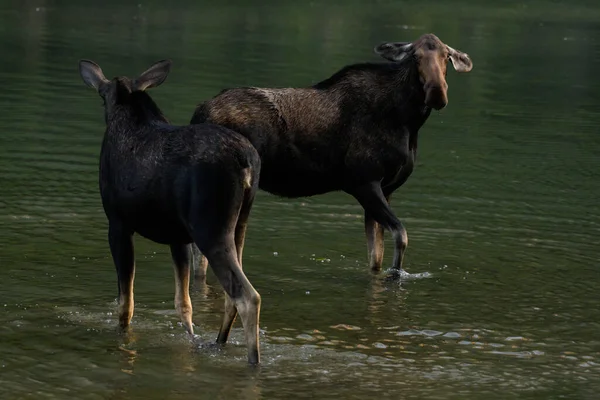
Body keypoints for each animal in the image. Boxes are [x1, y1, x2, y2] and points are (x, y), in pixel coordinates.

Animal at [78, 57, 262, 364]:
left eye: (102, 95)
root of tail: (246, 161)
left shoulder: (118, 224)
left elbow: (125, 302)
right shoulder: (178, 238)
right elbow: (183, 304)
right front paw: (189, 339)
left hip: (210, 229)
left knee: (248, 296)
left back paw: (253, 360)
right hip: (240, 224)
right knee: (230, 294)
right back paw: (217, 343)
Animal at [192, 33, 474, 278]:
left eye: (447, 56)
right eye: (415, 56)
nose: (437, 92)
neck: (407, 122)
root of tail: (199, 113)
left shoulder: (387, 188)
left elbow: (376, 256)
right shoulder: (364, 182)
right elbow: (400, 236)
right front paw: (395, 275)